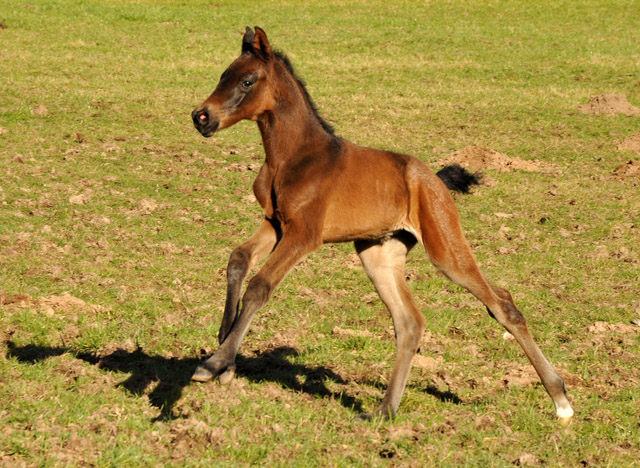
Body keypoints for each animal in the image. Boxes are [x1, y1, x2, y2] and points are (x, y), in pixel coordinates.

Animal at [190, 27, 576, 422]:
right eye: (223, 75)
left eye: (247, 80)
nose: (201, 117)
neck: (294, 156)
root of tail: (434, 179)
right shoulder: (275, 223)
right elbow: (238, 260)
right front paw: (225, 354)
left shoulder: (303, 234)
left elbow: (260, 286)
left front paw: (213, 364)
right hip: (379, 255)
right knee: (410, 323)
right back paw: (385, 410)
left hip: (445, 249)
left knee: (501, 303)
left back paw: (560, 399)